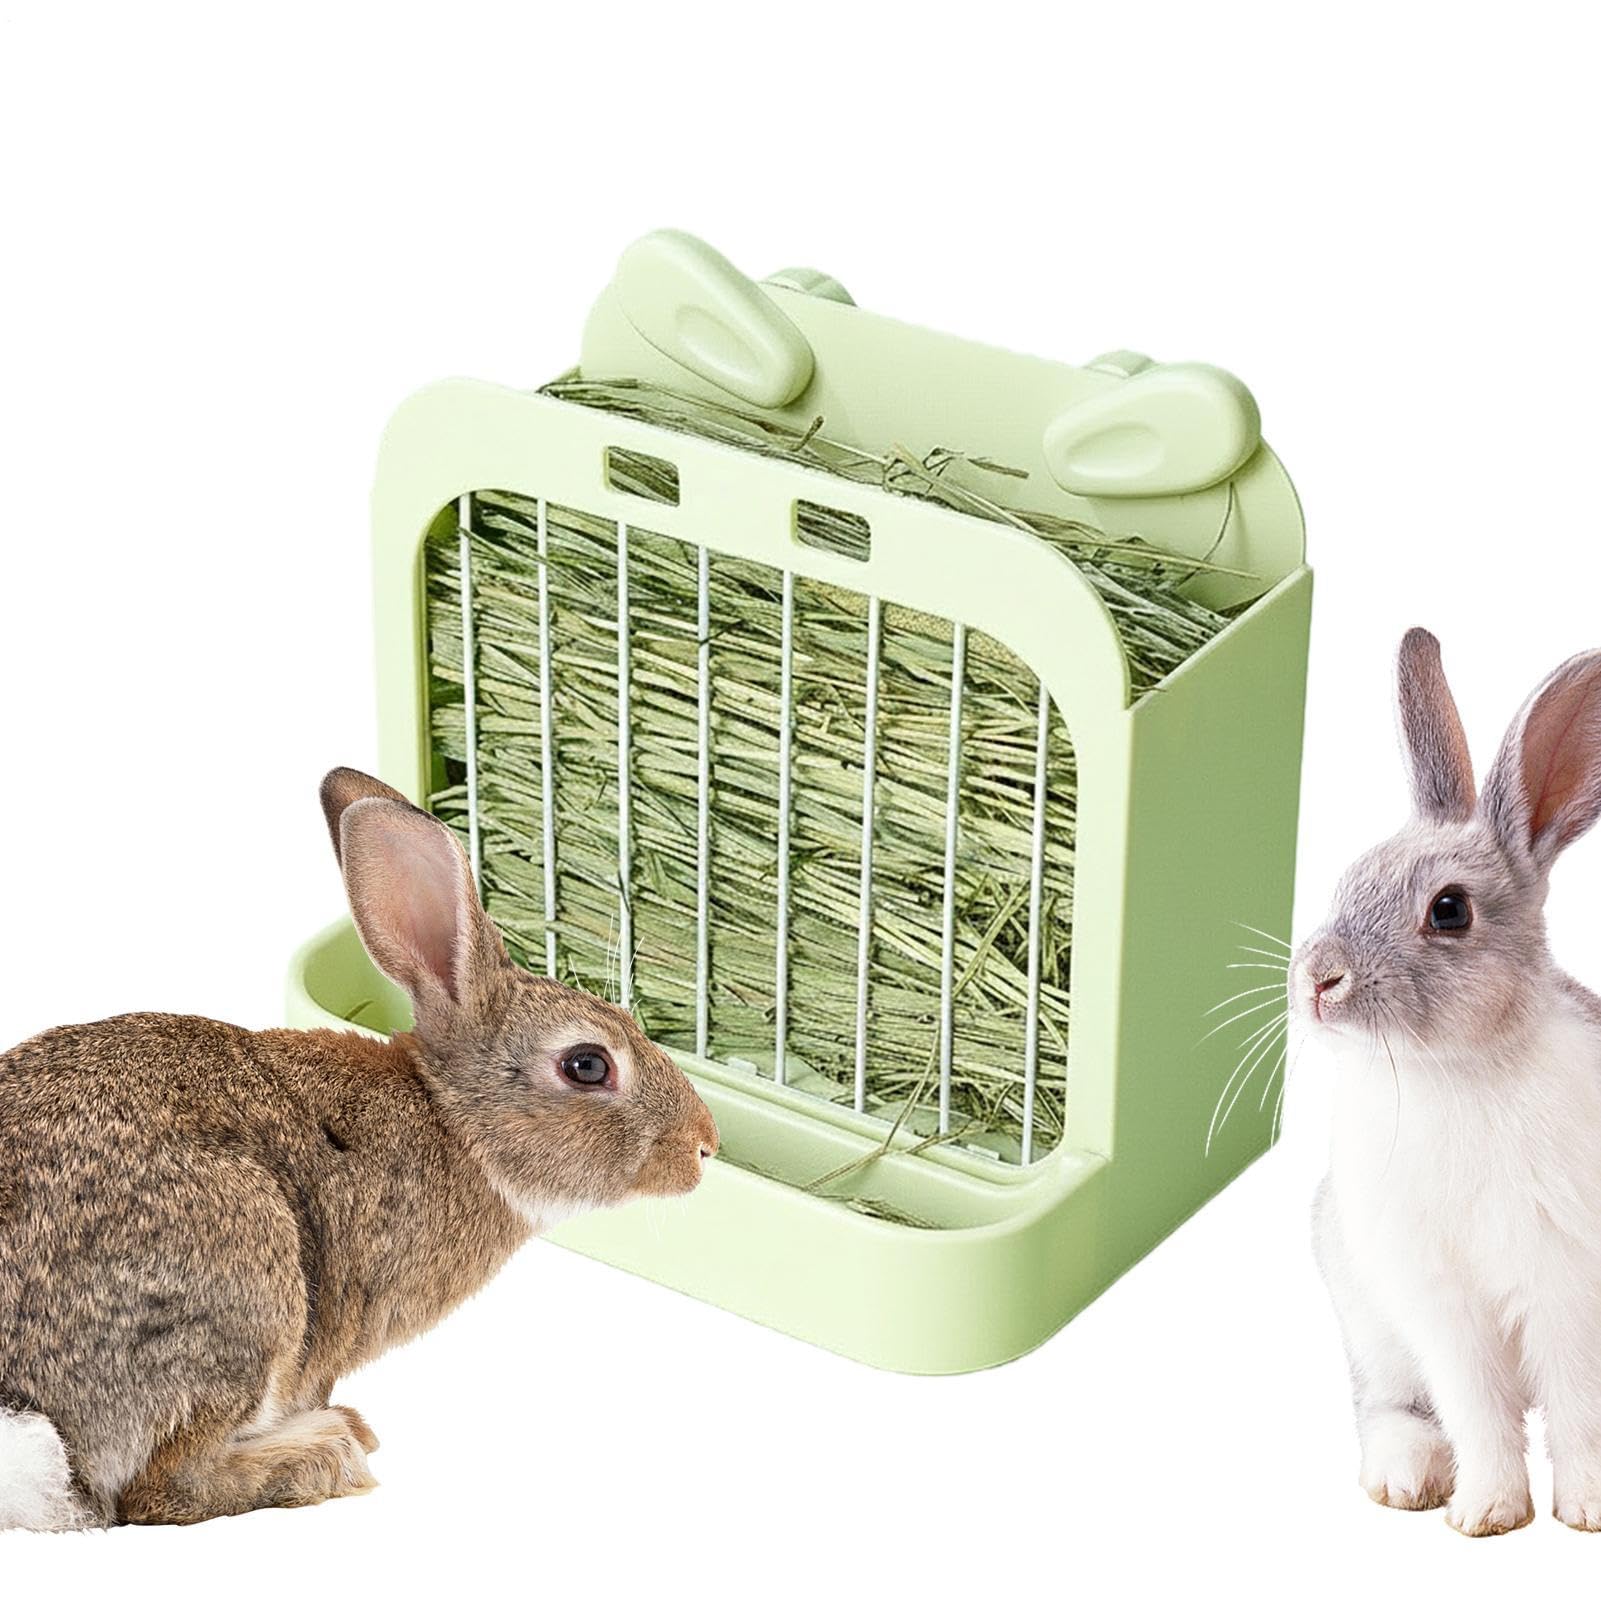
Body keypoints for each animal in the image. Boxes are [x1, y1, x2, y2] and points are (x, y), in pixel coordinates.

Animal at [0, 768, 718, 1529]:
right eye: (587, 1064)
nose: (704, 1144)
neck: (451, 1120)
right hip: (243, 1279)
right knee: (159, 1489)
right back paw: (326, 1451)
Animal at [1294, 629, 1601, 1536]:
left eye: (1449, 909)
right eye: (1347, 878)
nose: (1317, 978)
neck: (1458, 1069)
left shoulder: (1567, 1290)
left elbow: (1577, 1409)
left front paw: (1584, 1510)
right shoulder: (1440, 1306)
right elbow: (1477, 1409)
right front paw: (1486, 1513)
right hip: (1369, 1325)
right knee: (1389, 1407)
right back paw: (1405, 1479)